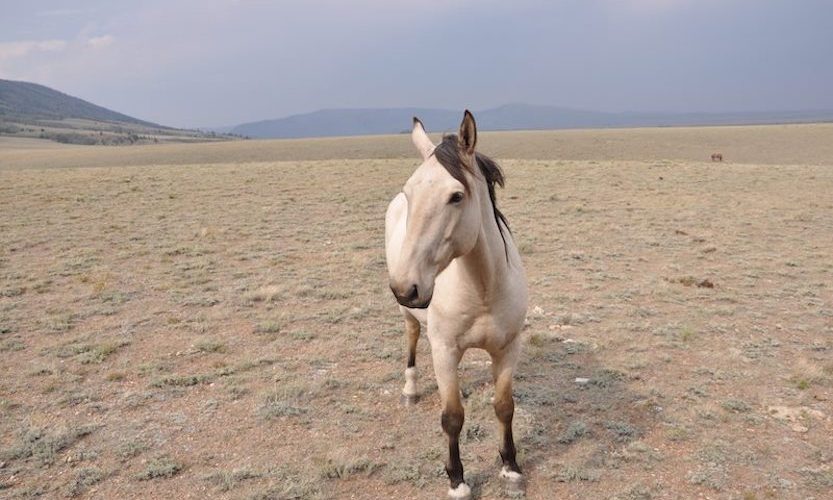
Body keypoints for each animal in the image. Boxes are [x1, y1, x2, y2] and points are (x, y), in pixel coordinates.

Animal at [384, 109, 528, 496]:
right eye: (409, 192)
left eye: (456, 196)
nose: (405, 287)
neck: (483, 289)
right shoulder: (445, 349)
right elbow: (452, 417)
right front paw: (457, 480)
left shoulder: (508, 349)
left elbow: (504, 406)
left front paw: (510, 466)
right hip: (411, 319)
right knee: (412, 339)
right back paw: (410, 389)